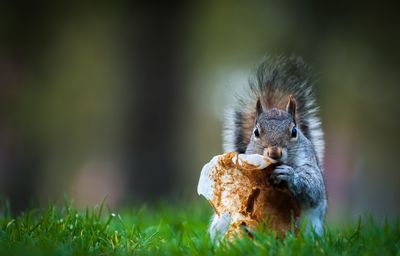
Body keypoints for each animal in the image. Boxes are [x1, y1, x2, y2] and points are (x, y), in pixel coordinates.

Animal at [209, 55, 328, 239]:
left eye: (294, 131)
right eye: (256, 132)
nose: (274, 152)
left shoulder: (309, 164)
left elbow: (312, 187)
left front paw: (289, 175)